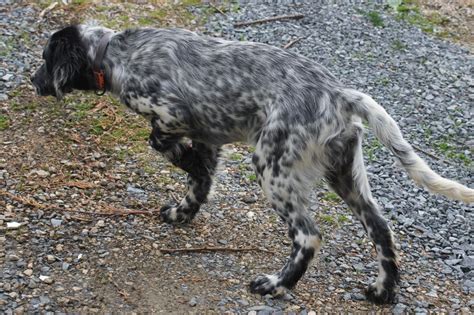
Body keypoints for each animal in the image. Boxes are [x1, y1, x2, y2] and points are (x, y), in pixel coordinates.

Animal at [31, 25, 472, 306]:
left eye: (45, 59)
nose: (34, 83)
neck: (114, 51)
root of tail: (340, 94)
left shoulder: (171, 114)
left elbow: (164, 145)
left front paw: (183, 167)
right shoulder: (208, 135)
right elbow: (199, 180)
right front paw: (183, 211)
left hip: (272, 167)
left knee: (308, 236)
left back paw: (276, 284)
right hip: (343, 173)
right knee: (381, 230)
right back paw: (383, 292)